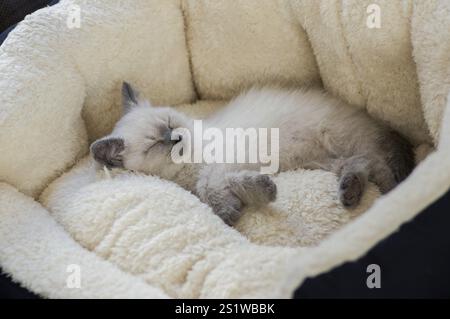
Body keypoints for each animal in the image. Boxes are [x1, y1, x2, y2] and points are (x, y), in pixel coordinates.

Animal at [91, 84, 414, 226]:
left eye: (171, 124)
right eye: (156, 143)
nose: (177, 138)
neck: (190, 166)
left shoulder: (227, 159)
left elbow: (210, 185)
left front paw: (231, 209)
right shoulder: (228, 168)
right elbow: (223, 186)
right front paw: (257, 194)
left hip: (342, 139)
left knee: (379, 163)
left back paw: (393, 194)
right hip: (328, 160)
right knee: (362, 164)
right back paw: (350, 193)